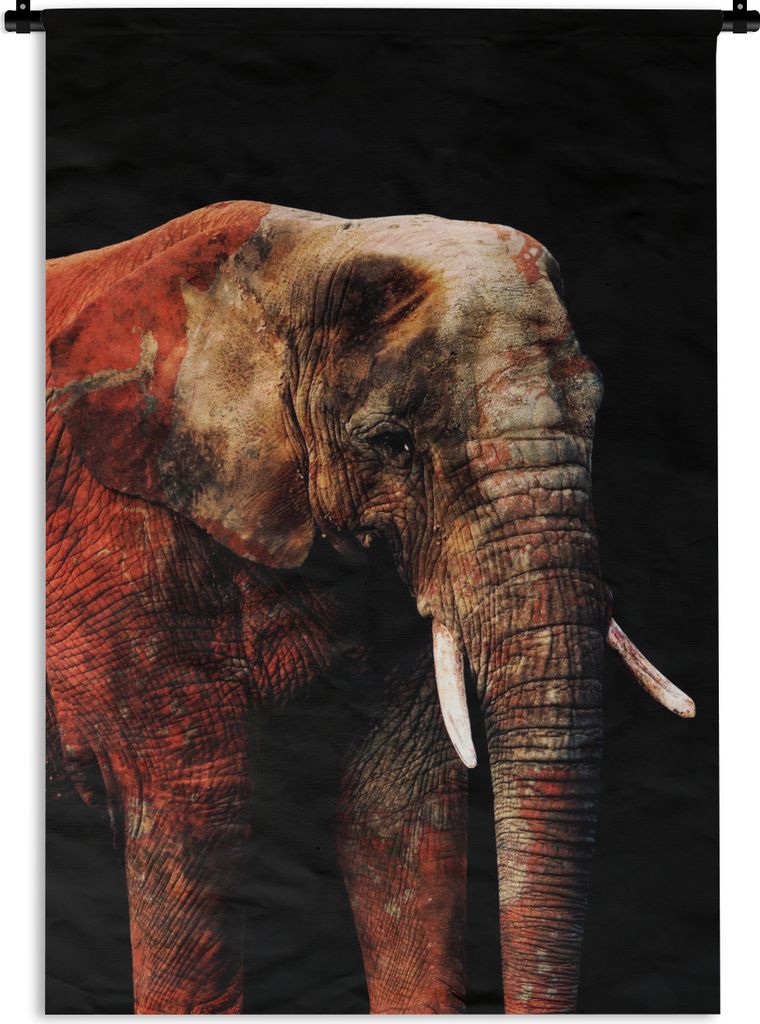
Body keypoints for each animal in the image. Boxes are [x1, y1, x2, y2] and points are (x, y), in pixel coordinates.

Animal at [46, 200, 694, 1014]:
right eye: (393, 443)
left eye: (596, 416)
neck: (296, 258)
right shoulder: (112, 535)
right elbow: (192, 806)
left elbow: (398, 811)